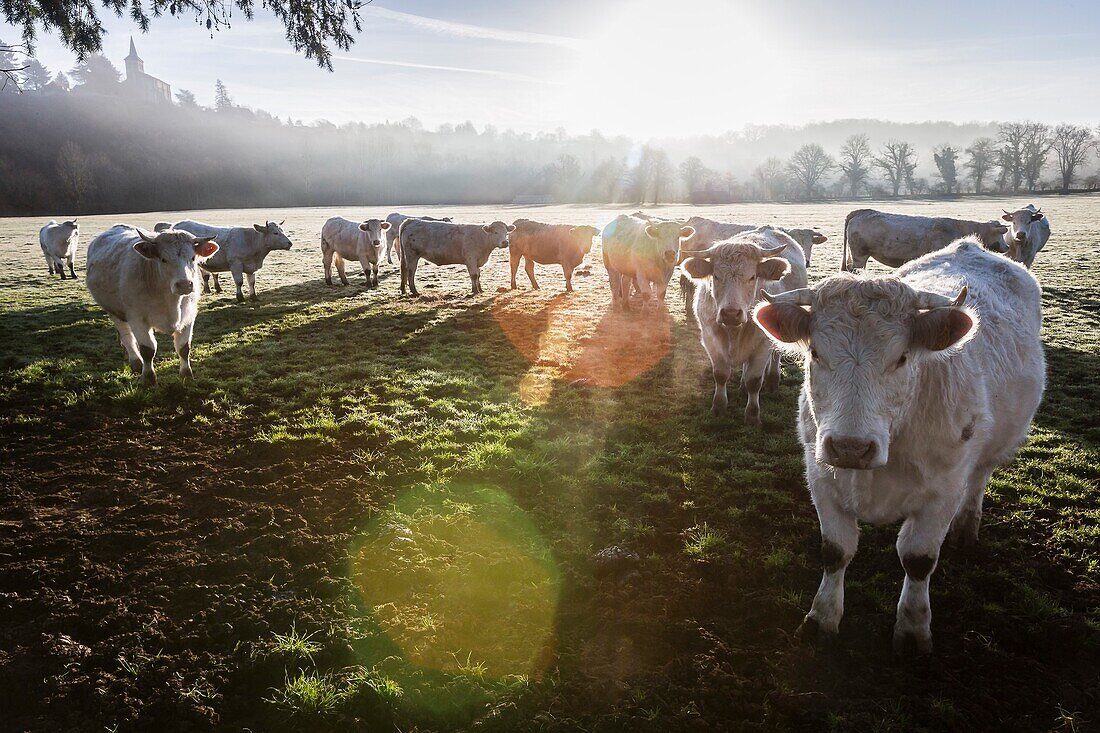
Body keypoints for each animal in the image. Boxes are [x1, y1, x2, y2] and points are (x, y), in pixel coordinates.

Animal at [752, 238, 1042, 651]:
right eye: (816, 354)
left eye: (902, 357)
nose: (850, 448)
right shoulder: (820, 478)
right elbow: (834, 551)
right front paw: (821, 618)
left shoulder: (943, 492)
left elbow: (918, 560)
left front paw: (913, 630)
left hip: (995, 447)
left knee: (978, 481)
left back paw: (966, 527)